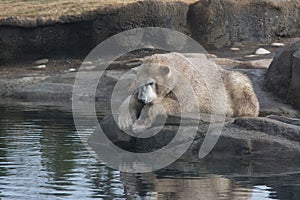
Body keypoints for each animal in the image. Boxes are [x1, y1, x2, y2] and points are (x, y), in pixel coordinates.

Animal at [118, 52, 258, 133]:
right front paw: (125, 121)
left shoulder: (186, 86)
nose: (143, 99)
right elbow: (131, 97)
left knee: (239, 84)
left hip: (229, 82)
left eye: (151, 83)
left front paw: (139, 124)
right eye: (138, 82)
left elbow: (179, 104)